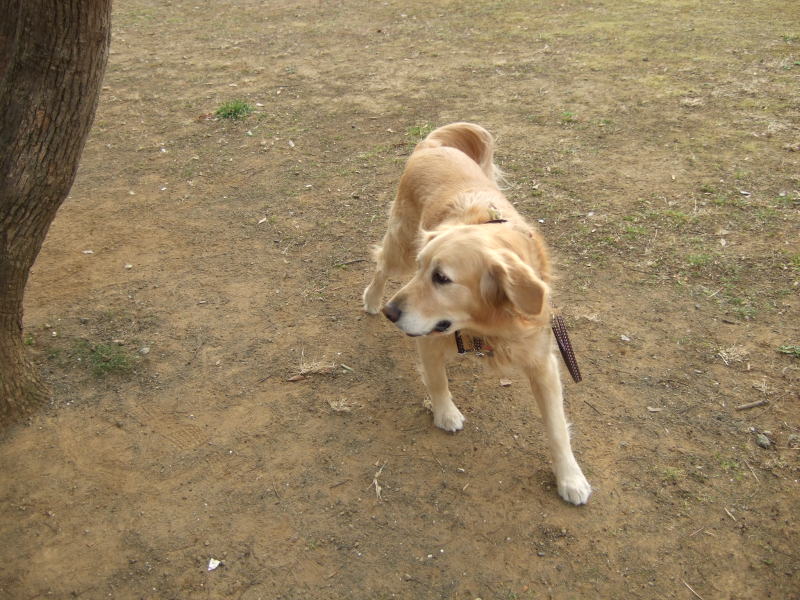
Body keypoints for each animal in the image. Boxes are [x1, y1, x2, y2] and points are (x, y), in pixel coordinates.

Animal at [366, 123, 592, 506]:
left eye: (442, 278)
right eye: (422, 268)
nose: (390, 313)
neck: (489, 322)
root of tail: (433, 144)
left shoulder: (542, 359)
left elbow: (557, 427)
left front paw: (570, 477)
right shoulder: (429, 334)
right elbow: (437, 380)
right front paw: (446, 414)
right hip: (402, 242)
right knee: (381, 262)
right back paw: (371, 297)